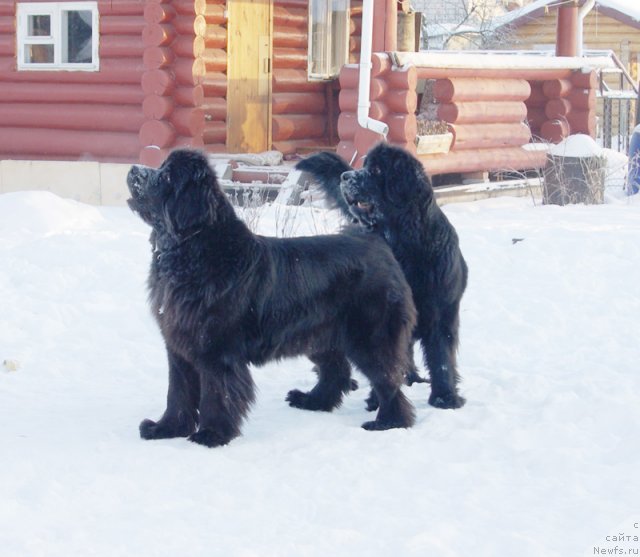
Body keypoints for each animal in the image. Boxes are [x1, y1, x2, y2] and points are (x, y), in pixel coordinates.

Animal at [127, 148, 418, 448]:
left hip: (371, 337)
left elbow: (217, 394)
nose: (134, 169)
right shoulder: (178, 345)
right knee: (335, 371)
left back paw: (389, 422)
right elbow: (178, 392)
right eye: (161, 166)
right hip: (321, 335)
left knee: (388, 379)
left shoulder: (217, 350)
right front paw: (165, 428)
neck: (192, 250)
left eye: (167, 176)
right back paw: (312, 401)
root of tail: (376, 242)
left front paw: (212, 434)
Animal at [298, 141, 468, 406]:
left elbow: (441, 357)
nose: (345, 176)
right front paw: (378, 400)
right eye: (363, 164)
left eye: (377, 170)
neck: (403, 246)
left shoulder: (441, 310)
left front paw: (445, 398)